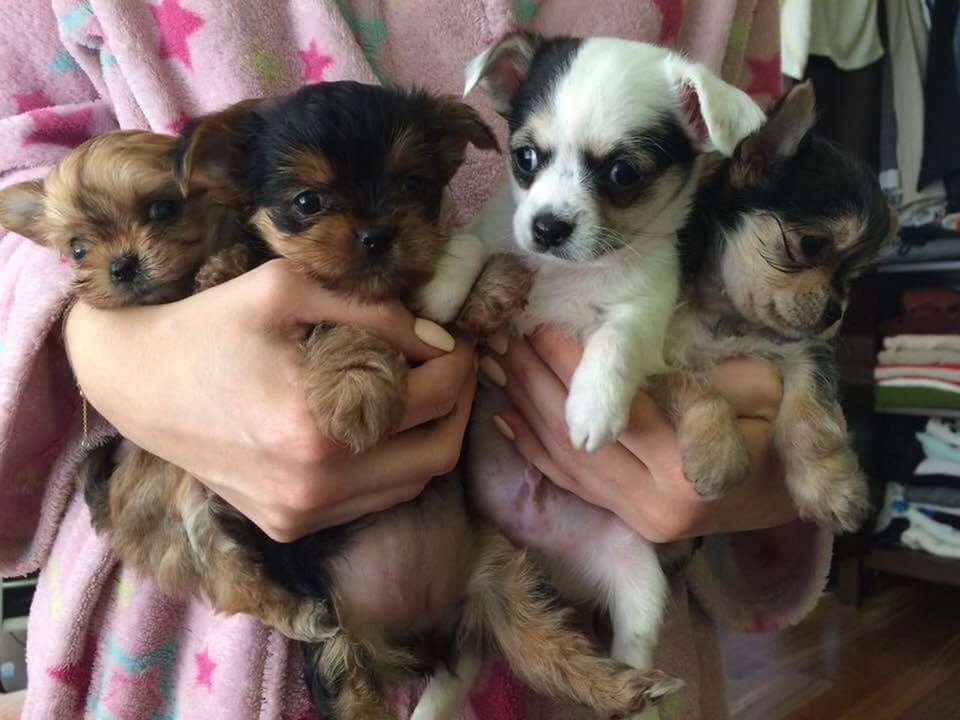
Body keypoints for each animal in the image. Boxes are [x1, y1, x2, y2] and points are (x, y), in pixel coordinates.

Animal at [462, 31, 768, 716]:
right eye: (524, 158)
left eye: (623, 174)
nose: (547, 226)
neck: (569, 276)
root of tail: (540, 568)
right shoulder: (492, 235)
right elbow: (463, 257)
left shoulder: (645, 316)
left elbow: (615, 338)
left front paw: (592, 407)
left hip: (636, 572)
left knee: (632, 644)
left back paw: (638, 688)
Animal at [656, 81, 896, 532]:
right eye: (812, 245)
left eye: (853, 278)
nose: (836, 312)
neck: (726, 315)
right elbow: (691, 384)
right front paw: (717, 452)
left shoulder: (807, 352)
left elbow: (812, 413)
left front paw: (829, 485)